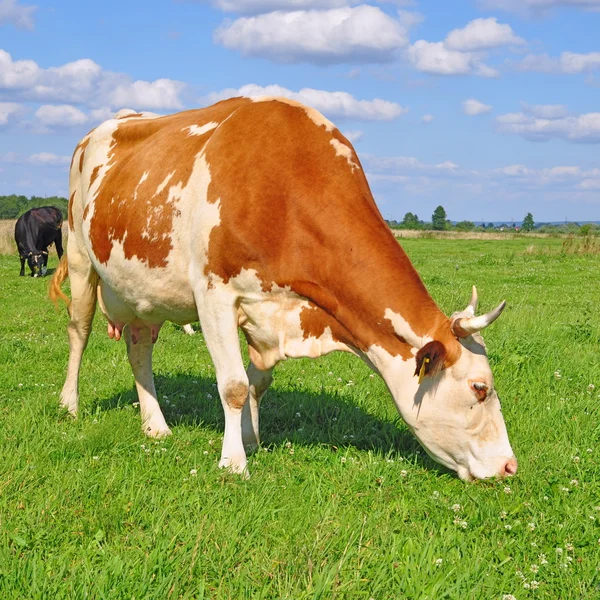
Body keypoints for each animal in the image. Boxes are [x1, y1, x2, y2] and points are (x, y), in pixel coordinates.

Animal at [49, 98, 516, 482]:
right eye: (480, 388)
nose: (510, 466)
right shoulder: (214, 293)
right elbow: (234, 385)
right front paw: (233, 463)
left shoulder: (268, 309)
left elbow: (258, 383)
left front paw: (250, 440)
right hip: (80, 257)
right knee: (79, 331)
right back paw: (69, 404)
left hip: (144, 289)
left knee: (139, 348)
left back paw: (155, 425)